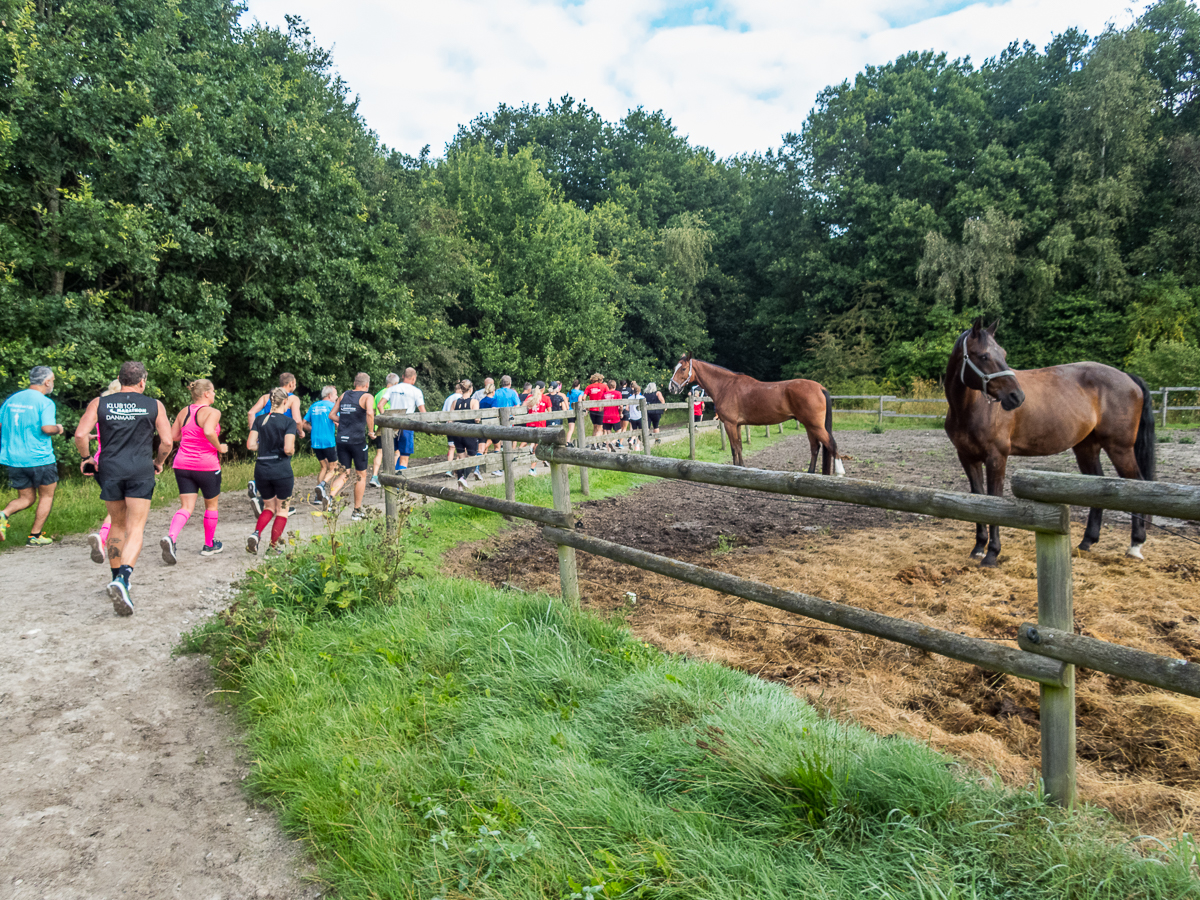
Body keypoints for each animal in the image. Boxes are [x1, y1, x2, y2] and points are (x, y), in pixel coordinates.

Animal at [667, 355, 844, 475]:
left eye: (683, 369)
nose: (672, 387)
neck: (726, 386)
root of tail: (820, 387)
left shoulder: (730, 424)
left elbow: (734, 447)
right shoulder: (737, 425)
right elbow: (739, 446)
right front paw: (742, 467)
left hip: (815, 425)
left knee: (831, 444)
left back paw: (839, 473)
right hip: (809, 425)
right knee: (815, 447)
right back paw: (811, 473)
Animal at [945, 321, 1152, 566]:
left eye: (1003, 354)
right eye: (984, 355)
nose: (1016, 397)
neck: (971, 408)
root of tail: (1128, 378)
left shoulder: (996, 458)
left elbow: (994, 500)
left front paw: (992, 553)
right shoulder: (967, 458)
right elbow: (976, 497)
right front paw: (978, 547)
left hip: (1120, 447)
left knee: (1136, 483)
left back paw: (1135, 545)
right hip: (1086, 447)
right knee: (1096, 486)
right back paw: (1086, 542)